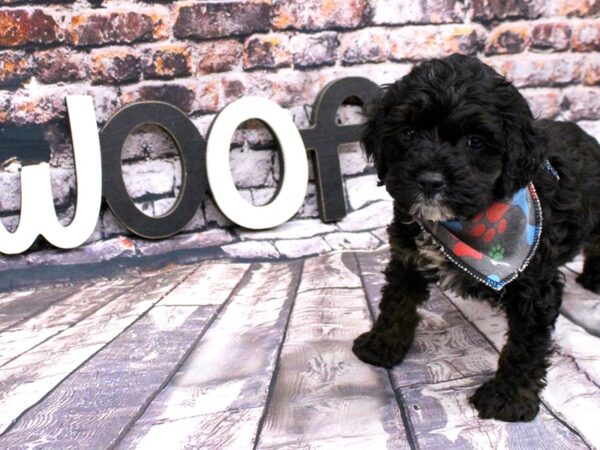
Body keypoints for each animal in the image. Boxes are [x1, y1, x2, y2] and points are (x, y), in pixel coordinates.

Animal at [352, 54, 600, 424]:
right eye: (408, 133)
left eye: (475, 141)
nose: (430, 180)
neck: (464, 222)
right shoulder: (408, 254)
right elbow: (396, 302)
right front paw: (383, 345)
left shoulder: (536, 286)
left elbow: (525, 346)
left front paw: (509, 397)